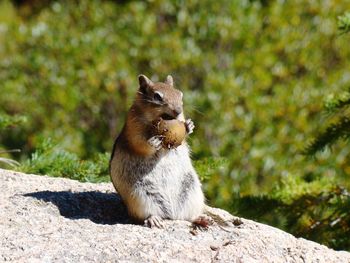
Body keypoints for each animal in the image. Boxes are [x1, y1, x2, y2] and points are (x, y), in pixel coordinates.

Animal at [109, 75, 211, 229]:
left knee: (188, 216)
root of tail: (173, 215)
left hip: (193, 192)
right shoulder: (133, 128)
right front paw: (153, 142)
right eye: (157, 96)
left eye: (180, 94)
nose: (178, 110)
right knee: (146, 215)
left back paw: (202, 219)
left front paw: (189, 125)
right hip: (140, 196)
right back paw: (154, 219)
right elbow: (139, 143)